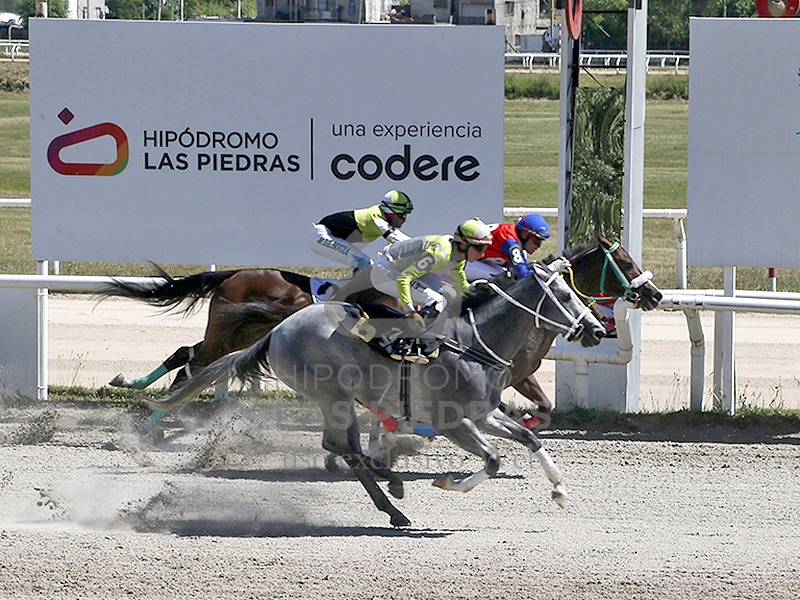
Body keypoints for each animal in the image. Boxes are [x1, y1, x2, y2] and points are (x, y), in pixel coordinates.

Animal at [142, 262, 606, 527]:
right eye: (562, 295)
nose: (597, 328)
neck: (472, 340)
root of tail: (277, 331)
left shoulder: (485, 412)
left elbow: (529, 437)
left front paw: (559, 490)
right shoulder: (452, 422)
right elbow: (492, 460)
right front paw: (444, 482)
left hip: (341, 399)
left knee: (344, 446)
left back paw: (392, 495)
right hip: (333, 395)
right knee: (339, 445)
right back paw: (394, 494)